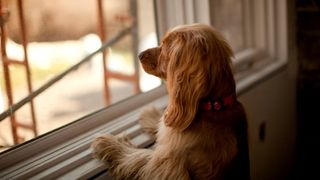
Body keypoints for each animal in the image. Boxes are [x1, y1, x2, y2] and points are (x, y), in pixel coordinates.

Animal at [90, 23, 250, 179]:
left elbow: (138, 155)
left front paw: (110, 143)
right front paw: (151, 114)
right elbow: (162, 127)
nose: (139, 55)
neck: (214, 106)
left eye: (165, 46)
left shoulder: (168, 166)